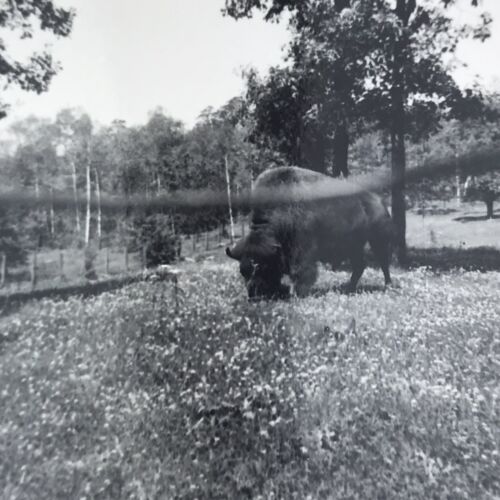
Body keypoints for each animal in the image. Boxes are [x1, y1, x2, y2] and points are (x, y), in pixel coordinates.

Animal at [227, 167, 394, 300]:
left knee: (383, 262)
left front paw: (297, 294)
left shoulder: (302, 252)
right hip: (353, 247)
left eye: (262, 267)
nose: (254, 295)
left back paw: (388, 286)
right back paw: (349, 288)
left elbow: (300, 272)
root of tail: (380, 202)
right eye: (242, 271)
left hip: (377, 240)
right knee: (360, 265)